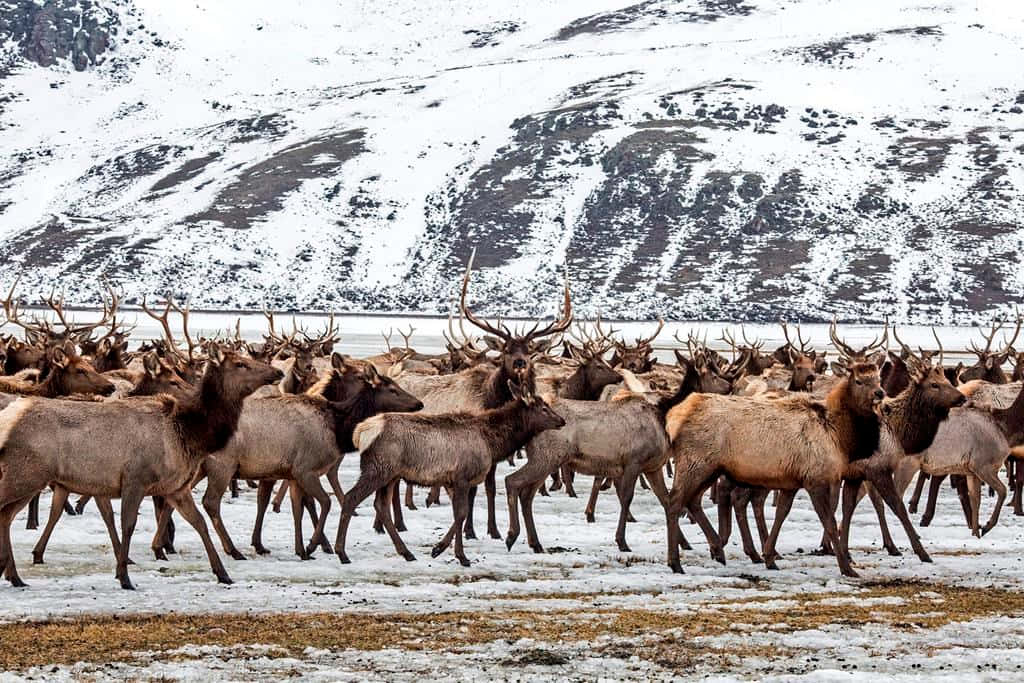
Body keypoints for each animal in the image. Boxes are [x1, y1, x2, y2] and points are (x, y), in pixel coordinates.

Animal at [0, 348, 282, 589]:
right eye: (241, 364)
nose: (277, 372)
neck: (189, 435)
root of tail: (8, 419)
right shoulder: (135, 479)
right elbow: (128, 524)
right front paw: (124, 577)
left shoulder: (175, 487)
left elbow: (199, 522)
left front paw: (223, 573)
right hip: (24, 474)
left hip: (28, 479)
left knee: (5, 516)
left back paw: (14, 576)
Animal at [335, 378, 565, 565]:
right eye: (544, 408)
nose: (562, 420)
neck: (492, 443)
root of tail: (360, 432)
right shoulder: (462, 476)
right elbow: (462, 513)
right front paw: (458, 555)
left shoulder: (453, 481)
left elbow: (459, 515)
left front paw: (441, 549)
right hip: (377, 469)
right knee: (351, 498)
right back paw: (342, 553)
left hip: (390, 475)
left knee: (380, 506)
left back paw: (406, 552)